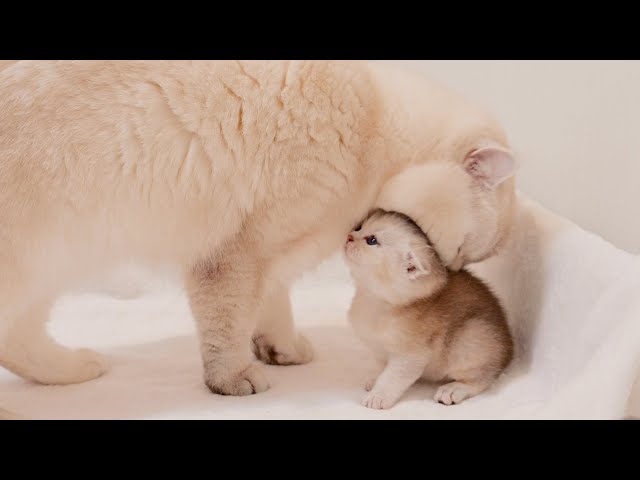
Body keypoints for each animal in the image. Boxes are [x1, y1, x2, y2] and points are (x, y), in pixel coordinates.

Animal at [344, 210, 516, 408]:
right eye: (359, 227)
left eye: (372, 240)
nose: (349, 237)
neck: (374, 301)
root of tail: (509, 349)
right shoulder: (380, 350)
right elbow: (384, 369)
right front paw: (376, 380)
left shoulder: (411, 355)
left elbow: (393, 377)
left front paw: (378, 396)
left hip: (470, 338)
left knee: (485, 377)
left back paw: (454, 389)